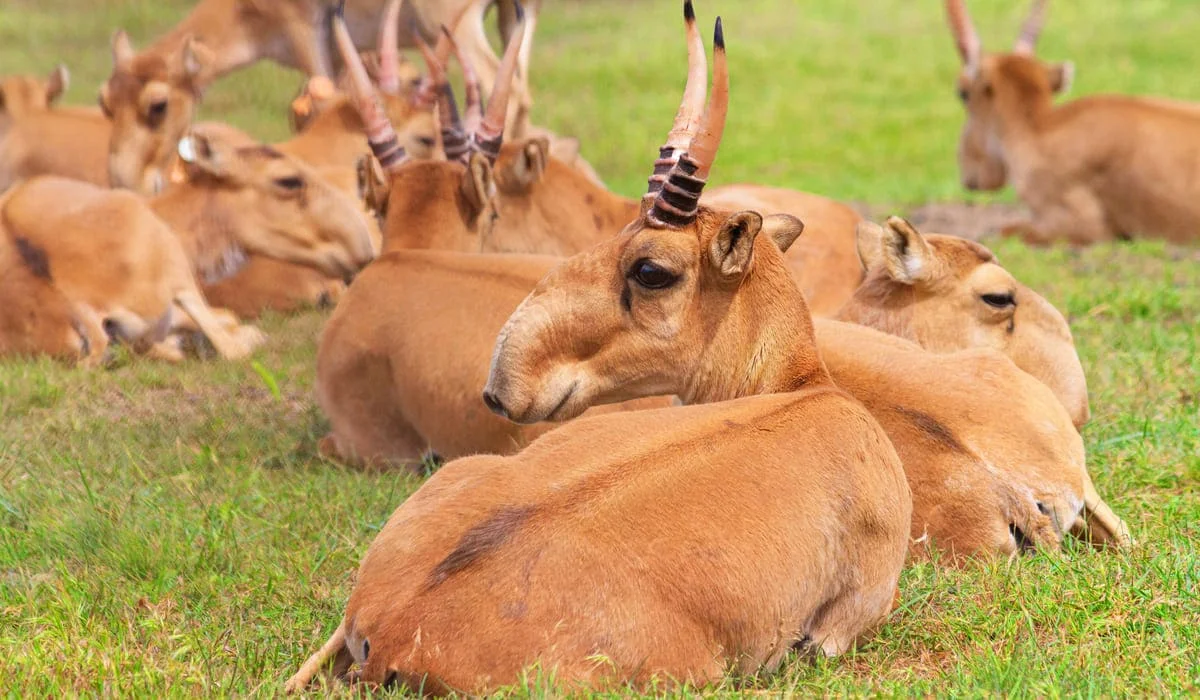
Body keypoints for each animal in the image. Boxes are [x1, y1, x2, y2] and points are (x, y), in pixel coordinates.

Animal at [100, 0, 532, 194]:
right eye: (104, 101)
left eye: (158, 105)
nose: (124, 180)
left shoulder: (306, 31)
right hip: (515, 17)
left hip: (450, 24)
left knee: (502, 85)